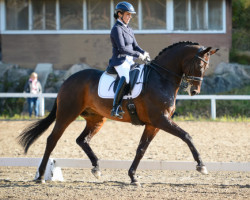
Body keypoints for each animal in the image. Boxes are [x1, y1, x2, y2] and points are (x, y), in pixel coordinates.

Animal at [18, 41, 219, 186]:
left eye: (207, 67)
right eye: (199, 65)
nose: (195, 91)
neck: (161, 78)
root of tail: (68, 80)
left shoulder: (153, 124)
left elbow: (141, 149)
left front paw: (133, 177)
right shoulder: (161, 120)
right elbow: (187, 136)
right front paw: (201, 166)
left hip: (96, 119)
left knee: (82, 140)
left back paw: (96, 168)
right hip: (67, 114)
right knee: (52, 139)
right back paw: (41, 176)